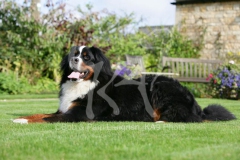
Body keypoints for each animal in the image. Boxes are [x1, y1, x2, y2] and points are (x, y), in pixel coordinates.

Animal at [12, 45, 235, 123]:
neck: (87, 83)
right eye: (74, 54)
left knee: (186, 117)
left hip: (160, 85)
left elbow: (46, 119)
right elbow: (39, 114)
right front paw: (21, 118)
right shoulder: (65, 108)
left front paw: (23, 121)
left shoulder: (79, 114)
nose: (74, 60)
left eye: (86, 57)